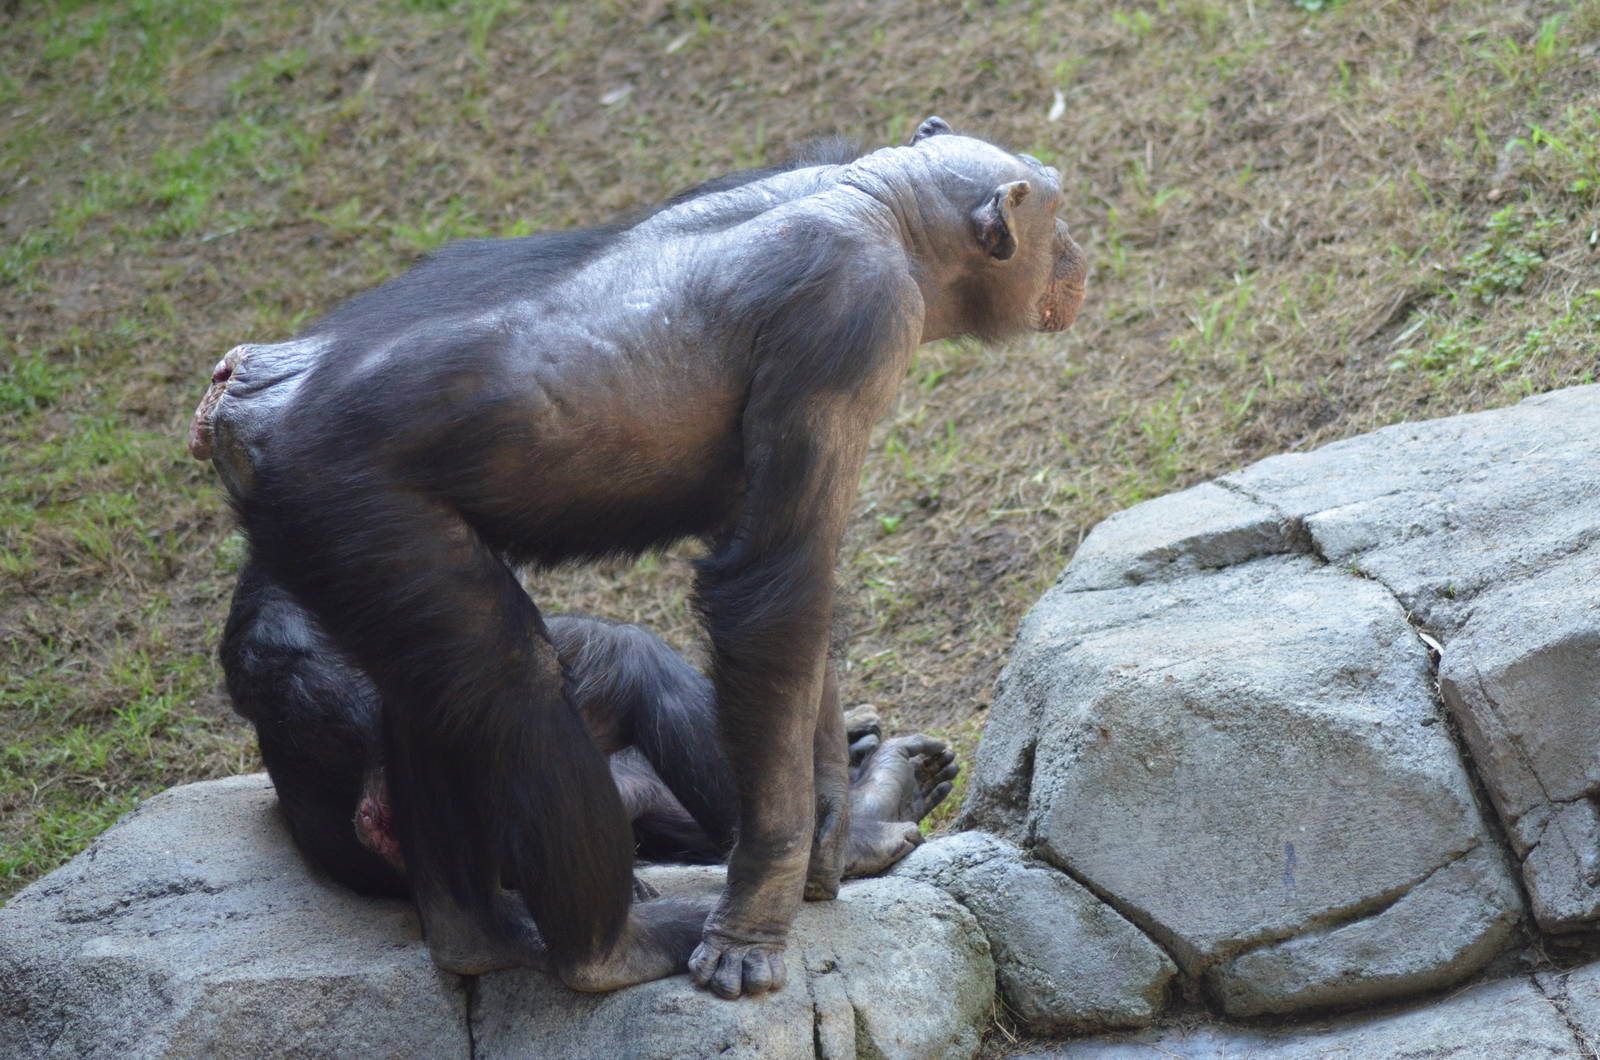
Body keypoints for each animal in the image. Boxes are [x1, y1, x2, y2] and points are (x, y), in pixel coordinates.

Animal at [190, 115, 1086, 998]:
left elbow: (787, 605)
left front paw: (833, 823)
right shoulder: (851, 319)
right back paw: (609, 948)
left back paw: (475, 936)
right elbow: (771, 590)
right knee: (511, 684)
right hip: (346, 505)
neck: (878, 205)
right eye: (1056, 208)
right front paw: (759, 912)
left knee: (430, 689)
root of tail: (239, 393)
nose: (1078, 252)